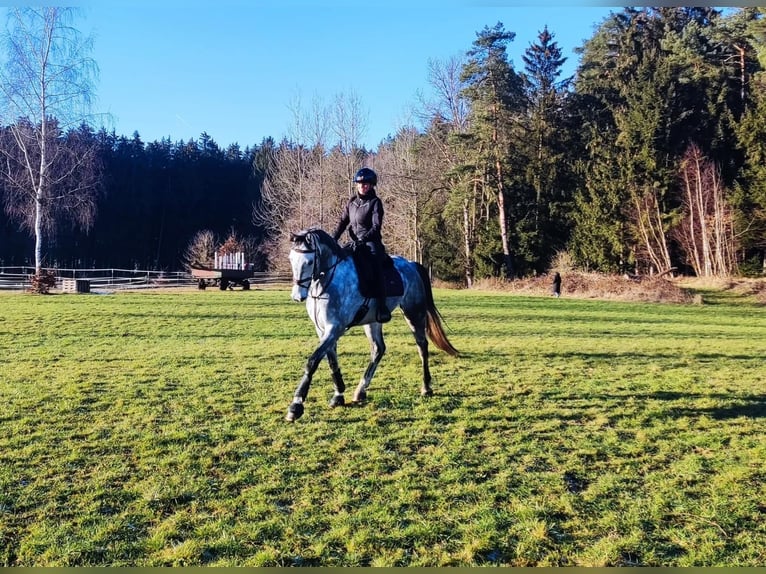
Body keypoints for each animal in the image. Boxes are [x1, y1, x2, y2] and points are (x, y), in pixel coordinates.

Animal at [284, 228, 460, 424]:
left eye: (308, 261)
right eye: (291, 259)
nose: (297, 296)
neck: (326, 283)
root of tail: (412, 264)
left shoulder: (335, 328)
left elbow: (313, 361)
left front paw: (296, 405)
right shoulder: (323, 330)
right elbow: (331, 360)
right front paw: (338, 395)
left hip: (413, 313)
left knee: (422, 347)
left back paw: (426, 386)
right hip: (373, 322)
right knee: (378, 349)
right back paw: (360, 391)